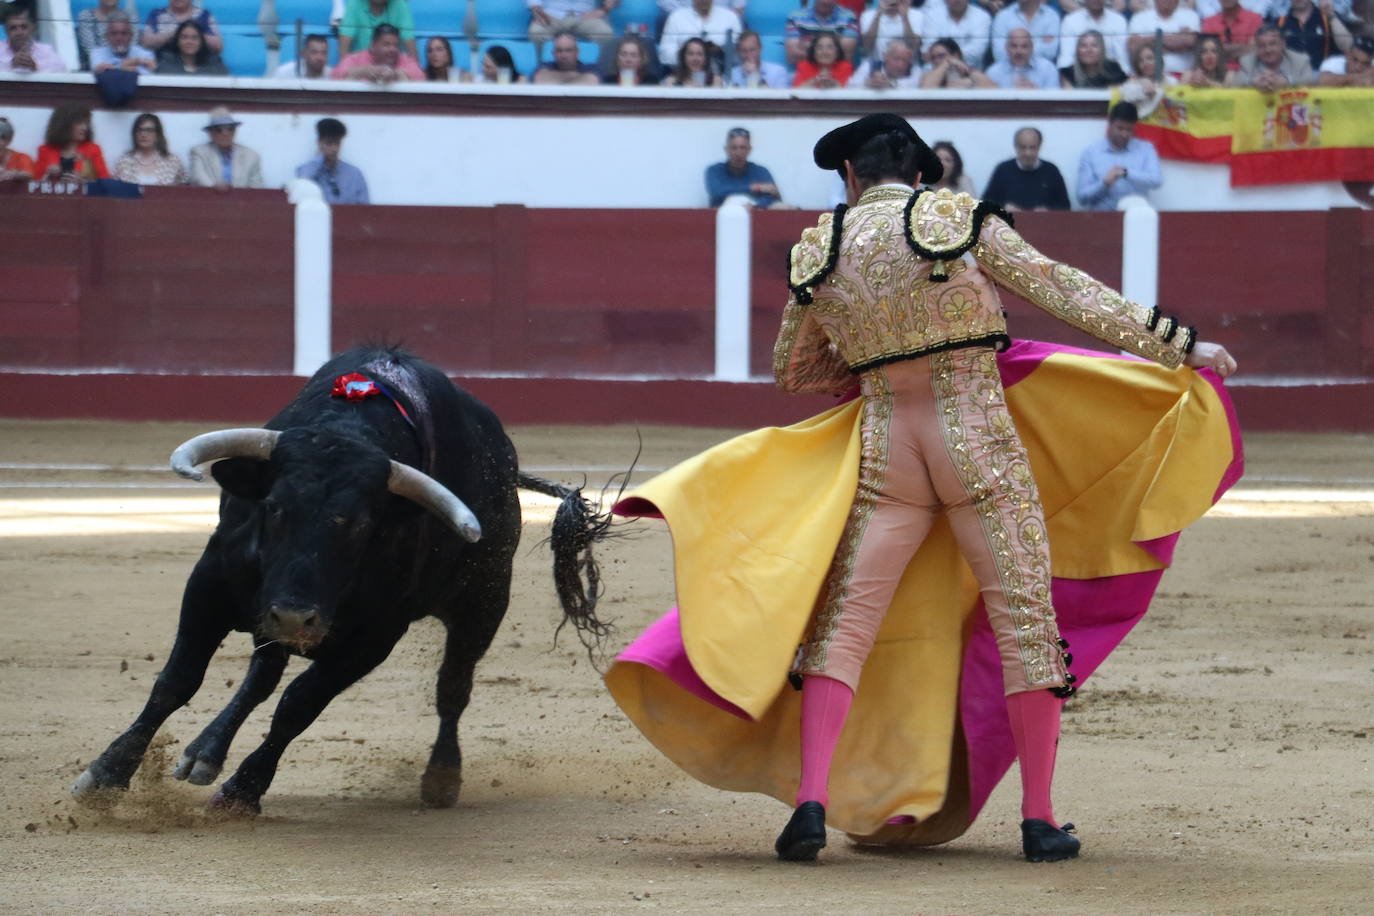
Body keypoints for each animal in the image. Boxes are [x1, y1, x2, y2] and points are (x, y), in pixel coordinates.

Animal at [69, 347, 615, 813]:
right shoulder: (210, 584)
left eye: (360, 525)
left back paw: (441, 777)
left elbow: (299, 704)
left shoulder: (374, 636)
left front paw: (243, 792)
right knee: (261, 676)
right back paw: (205, 751)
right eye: (273, 506)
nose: (294, 617)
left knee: (452, 687)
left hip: (483, 604)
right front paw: (106, 774)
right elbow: (178, 679)